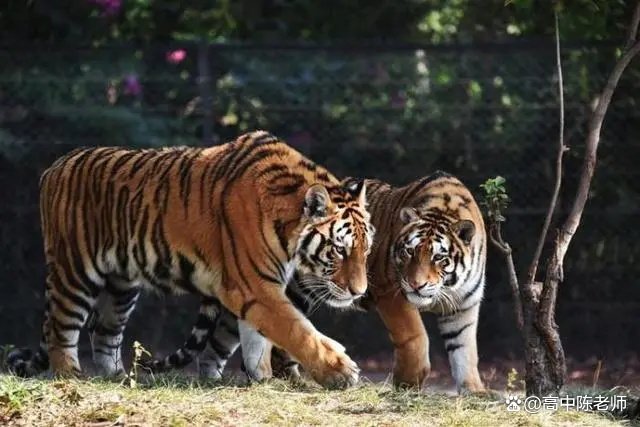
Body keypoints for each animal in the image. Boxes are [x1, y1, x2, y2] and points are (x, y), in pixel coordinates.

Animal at [7, 130, 375, 390]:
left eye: (366, 249)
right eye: (339, 250)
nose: (358, 292)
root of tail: (54, 166)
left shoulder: (258, 286)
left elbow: (258, 339)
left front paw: (263, 379)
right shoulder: (254, 285)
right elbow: (295, 329)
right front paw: (341, 371)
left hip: (121, 285)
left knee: (105, 333)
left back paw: (118, 378)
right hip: (74, 271)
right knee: (60, 328)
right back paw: (71, 376)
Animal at [146, 171, 487, 394]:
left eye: (439, 258)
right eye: (408, 252)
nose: (417, 286)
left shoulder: (465, 307)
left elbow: (465, 349)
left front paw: (475, 390)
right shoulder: (391, 291)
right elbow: (414, 336)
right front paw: (407, 381)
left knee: (223, 341)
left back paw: (220, 380)